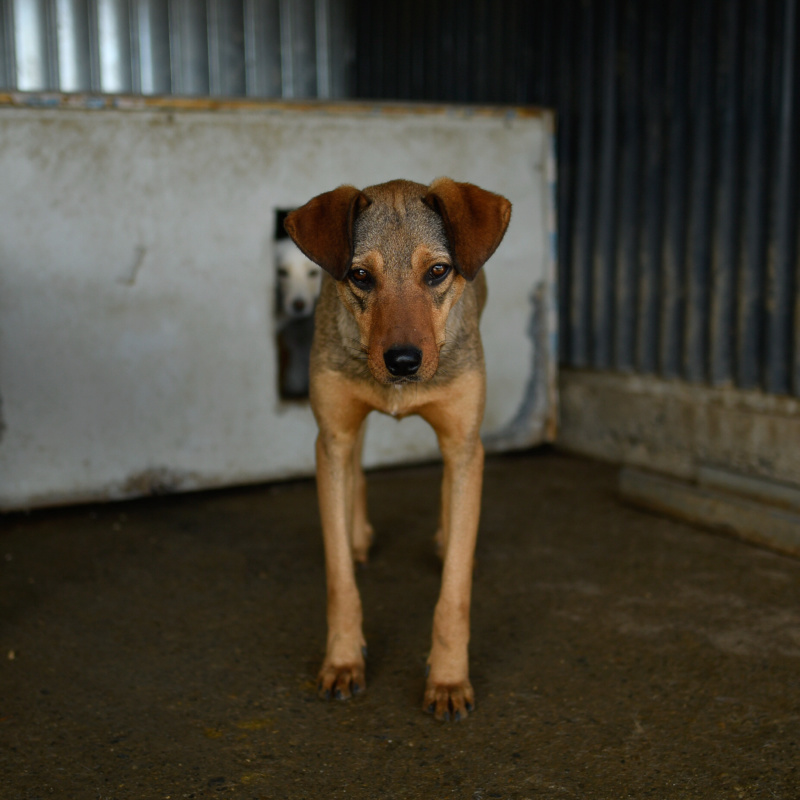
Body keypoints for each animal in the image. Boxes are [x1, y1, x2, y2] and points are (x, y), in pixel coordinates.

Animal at [286, 178, 512, 720]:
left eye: (438, 271)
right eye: (360, 276)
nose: (403, 362)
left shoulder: (463, 442)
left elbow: (454, 591)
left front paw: (448, 680)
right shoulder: (333, 434)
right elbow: (339, 579)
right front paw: (343, 659)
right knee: (356, 465)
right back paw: (357, 533)